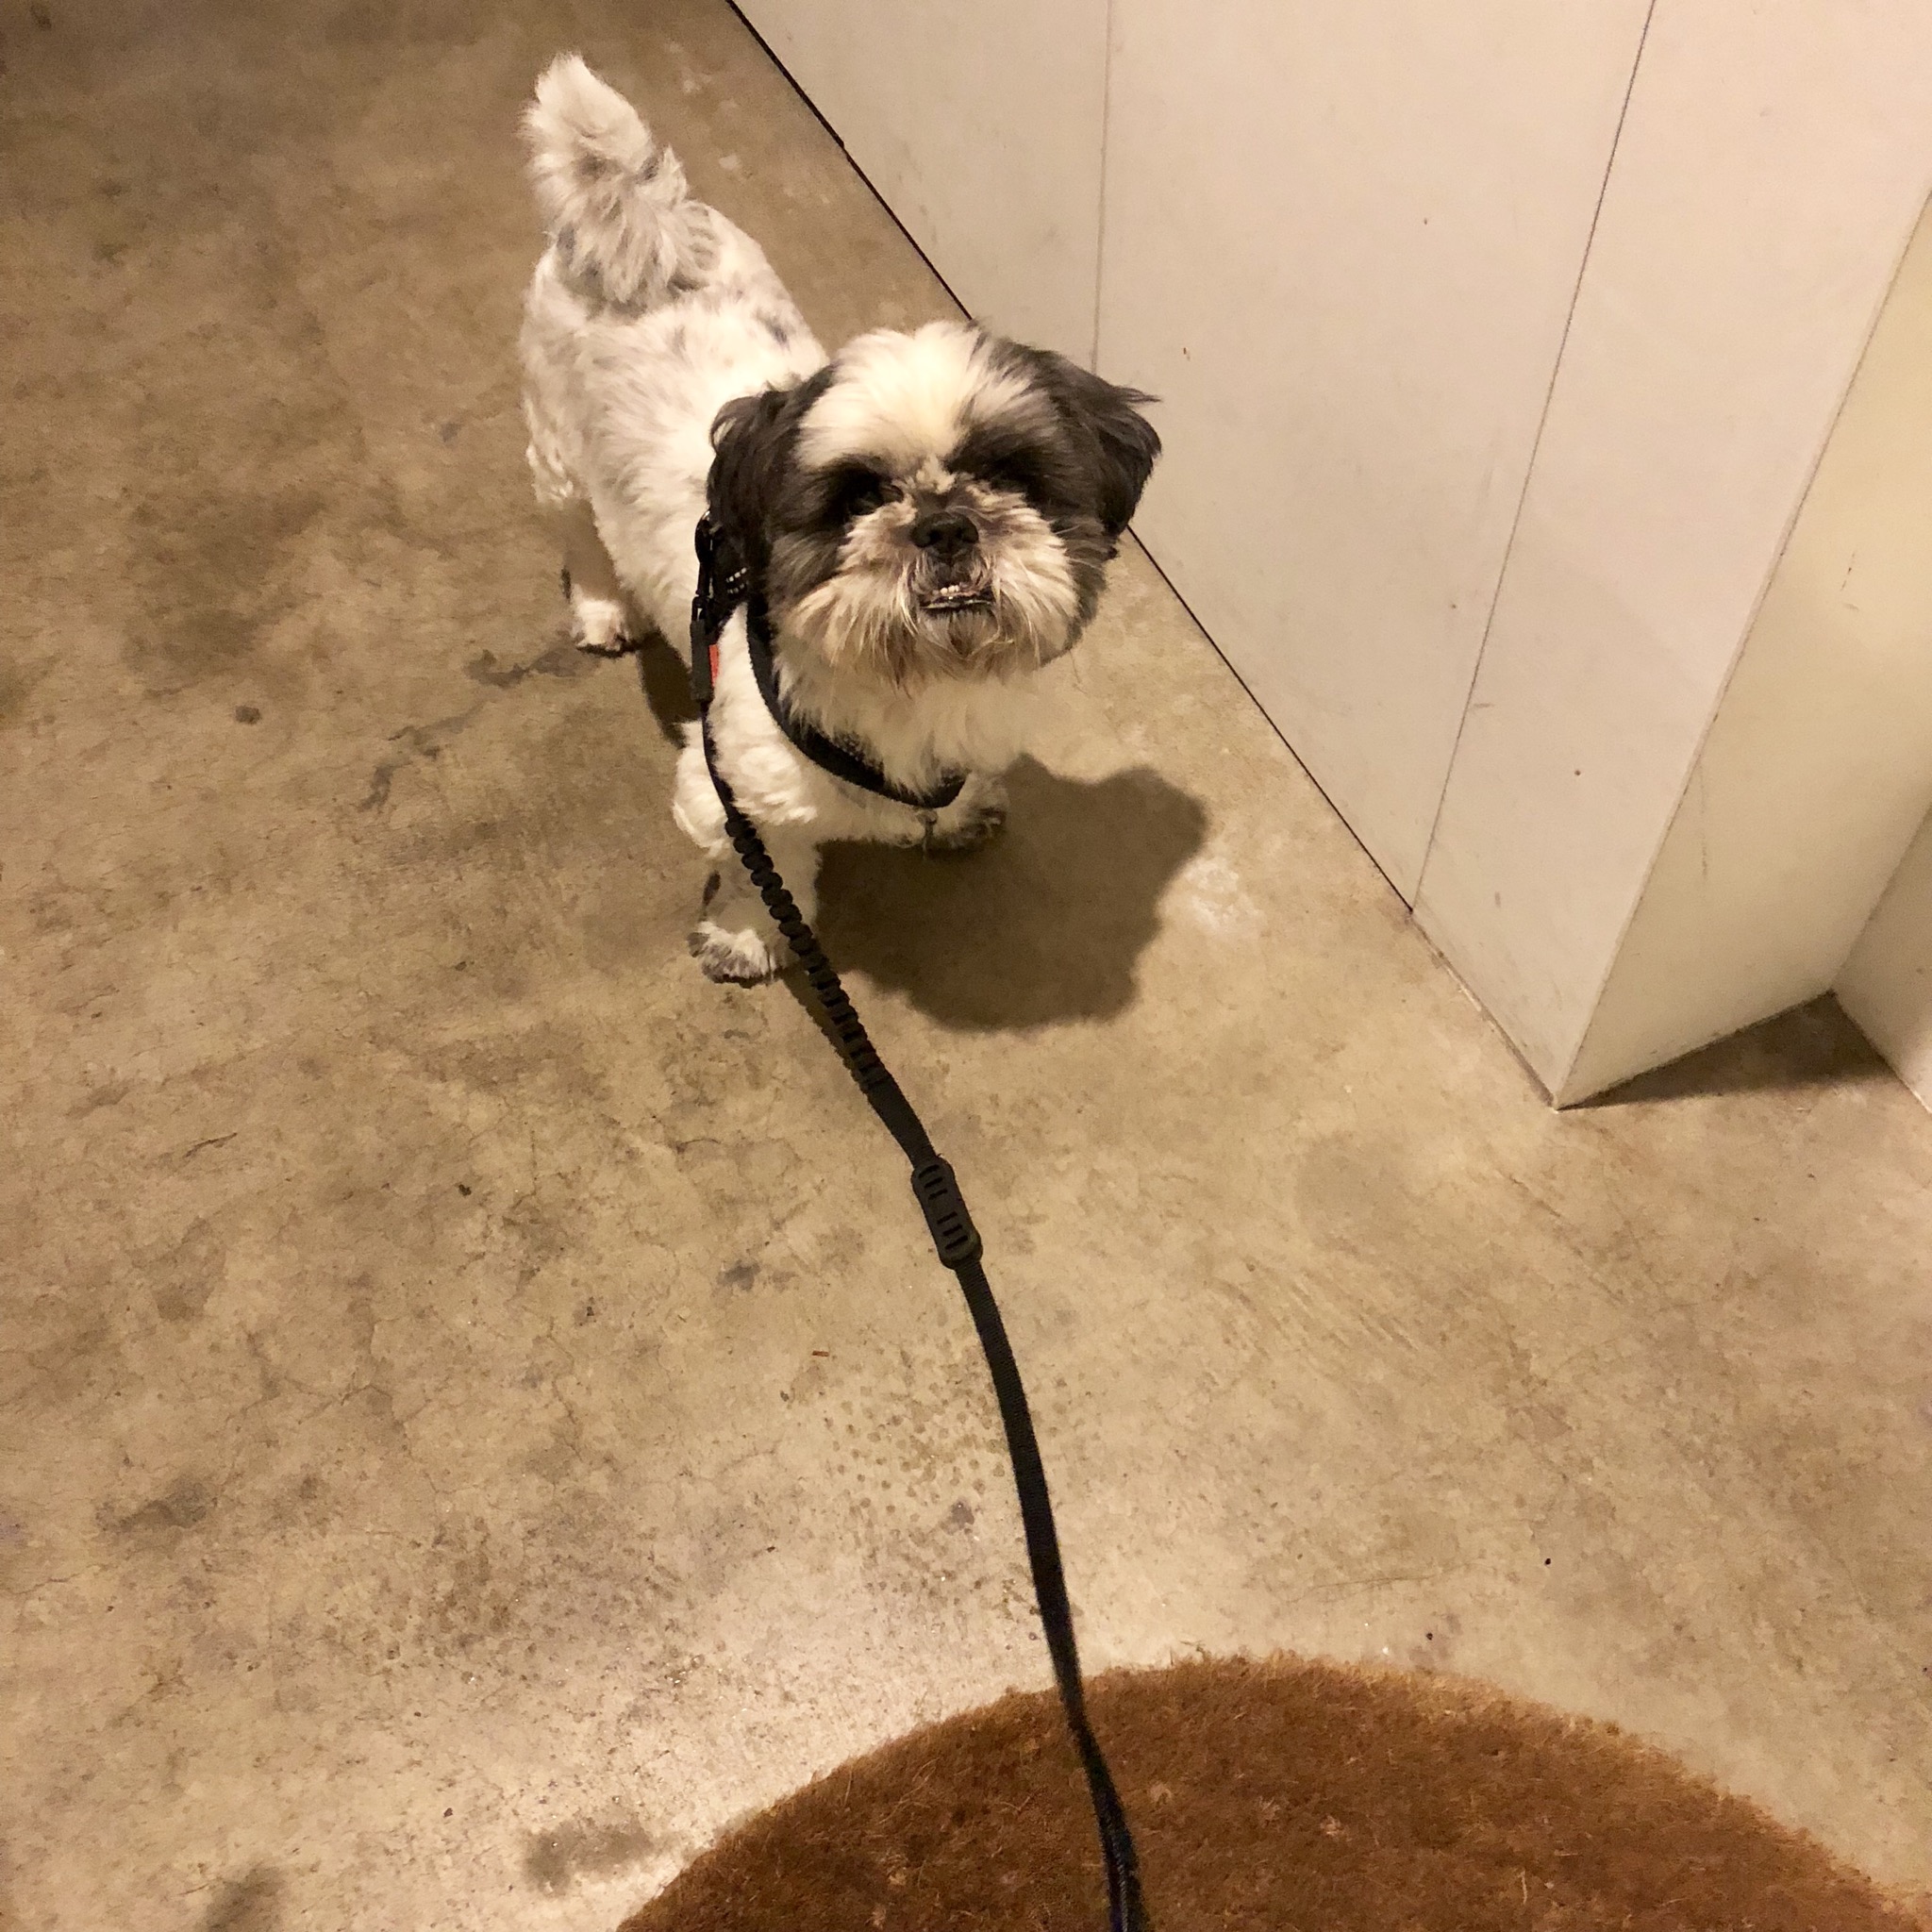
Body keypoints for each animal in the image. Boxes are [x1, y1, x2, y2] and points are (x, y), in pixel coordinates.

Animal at [518, 56, 1160, 981]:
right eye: (859, 499)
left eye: (1009, 477)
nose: (945, 524)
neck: (915, 688)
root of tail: (644, 233)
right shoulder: (734, 792)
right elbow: (768, 870)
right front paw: (750, 935)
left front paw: (958, 813)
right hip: (558, 460)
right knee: (581, 534)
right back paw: (605, 608)